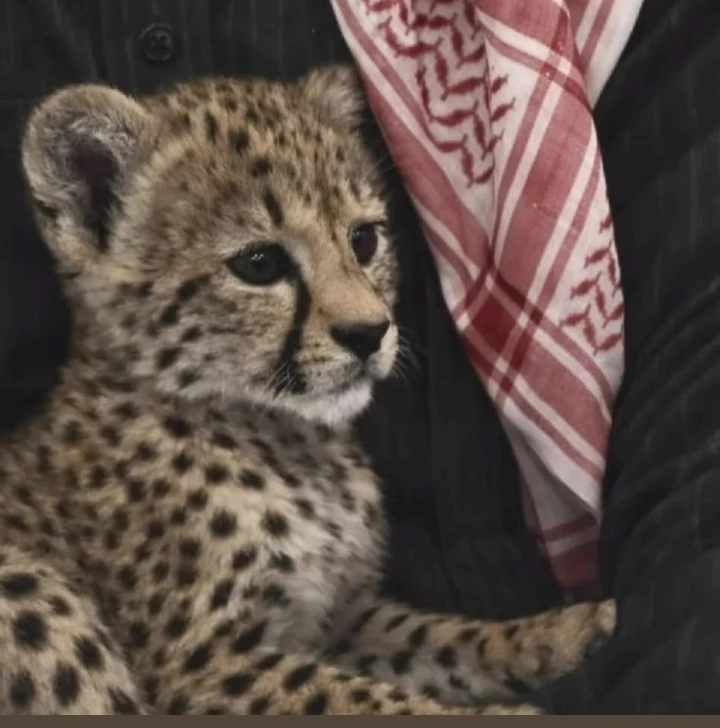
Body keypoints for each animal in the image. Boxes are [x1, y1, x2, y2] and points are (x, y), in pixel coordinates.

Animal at [0, 66, 615, 714]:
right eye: (260, 263)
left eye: (364, 240)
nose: (370, 333)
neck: (284, 437)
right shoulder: (205, 668)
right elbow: (364, 701)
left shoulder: (340, 619)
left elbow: (444, 639)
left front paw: (560, 630)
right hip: (31, 592)